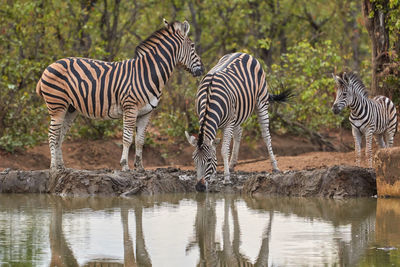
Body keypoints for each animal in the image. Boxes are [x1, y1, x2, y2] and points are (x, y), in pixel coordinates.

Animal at [36, 20, 205, 172]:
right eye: (193, 46)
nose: (202, 70)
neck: (148, 73)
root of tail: (50, 65)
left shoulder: (147, 112)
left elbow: (140, 140)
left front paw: (140, 167)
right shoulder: (130, 108)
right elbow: (127, 138)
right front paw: (124, 165)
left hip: (70, 109)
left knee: (60, 136)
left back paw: (61, 167)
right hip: (57, 106)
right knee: (52, 135)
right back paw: (53, 168)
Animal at [184, 52, 290, 192]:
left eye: (208, 160)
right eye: (194, 160)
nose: (199, 187)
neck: (209, 99)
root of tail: (244, 53)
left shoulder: (228, 123)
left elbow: (223, 150)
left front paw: (226, 178)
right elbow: (214, 147)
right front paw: (213, 177)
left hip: (261, 102)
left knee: (266, 135)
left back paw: (275, 166)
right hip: (238, 112)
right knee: (239, 133)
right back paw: (232, 164)